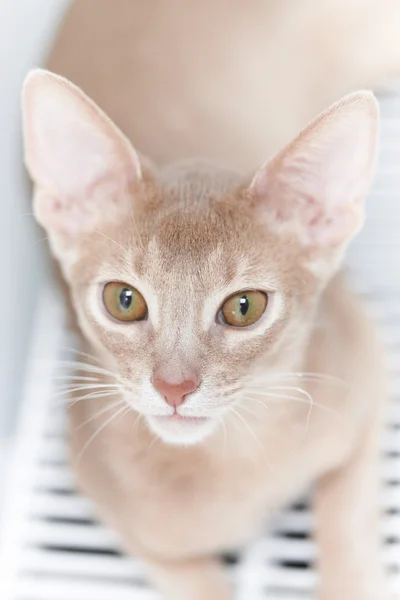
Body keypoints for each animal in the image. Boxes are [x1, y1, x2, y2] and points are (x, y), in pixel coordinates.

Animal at [21, 68, 388, 596]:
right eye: (124, 300)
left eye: (243, 307)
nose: (173, 387)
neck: (232, 458)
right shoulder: (122, 515)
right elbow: (197, 581)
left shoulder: (368, 374)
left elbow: (346, 514)